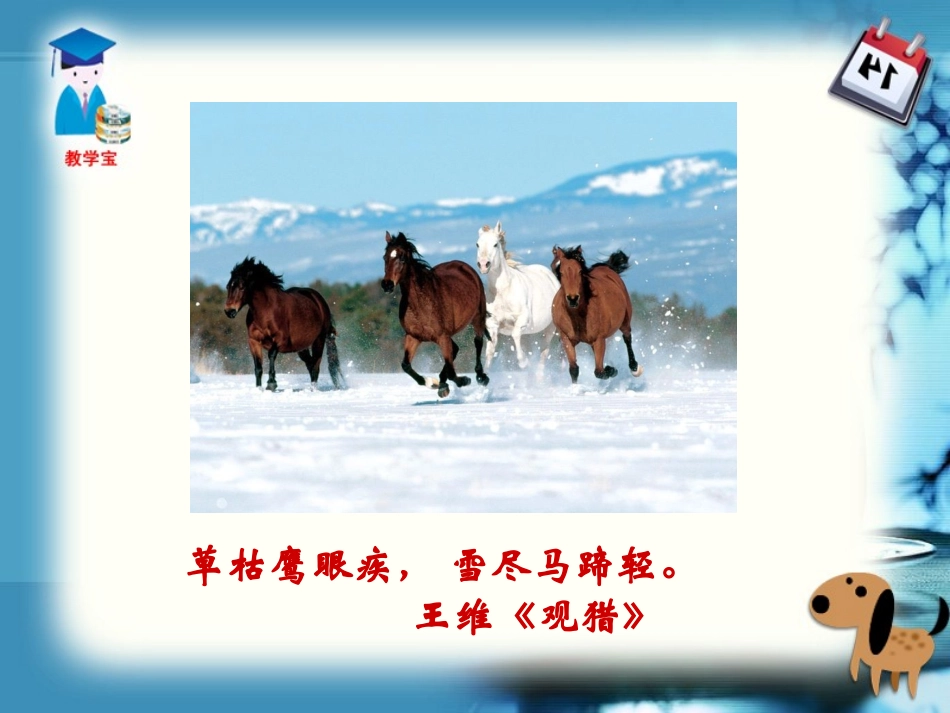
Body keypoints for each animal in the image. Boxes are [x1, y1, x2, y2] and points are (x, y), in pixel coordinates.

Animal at [224, 257, 346, 391]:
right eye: (228, 286)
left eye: (242, 287)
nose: (229, 311)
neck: (266, 311)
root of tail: (319, 300)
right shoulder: (254, 341)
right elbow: (258, 367)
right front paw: (259, 389)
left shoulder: (280, 340)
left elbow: (271, 355)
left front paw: (271, 383)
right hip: (301, 347)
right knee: (310, 364)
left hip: (319, 340)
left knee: (315, 365)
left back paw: (313, 389)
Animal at [381, 231, 490, 398]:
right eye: (385, 257)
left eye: (402, 258)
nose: (387, 285)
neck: (421, 304)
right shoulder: (413, 337)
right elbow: (406, 365)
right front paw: (432, 383)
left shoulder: (442, 336)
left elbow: (452, 371)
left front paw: (464, 380)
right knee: (455, 350)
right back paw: (442, 384)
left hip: (478, 317)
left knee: (477, 342)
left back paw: (480, 377)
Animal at [475, 221, 560, 370]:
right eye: (477, 244)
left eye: (495, 244)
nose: (484, 265)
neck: (503, 292)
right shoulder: (492, 326)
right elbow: (490, 353)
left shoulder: (522, 320)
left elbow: (515, 335)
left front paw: (524, 362)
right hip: (528, 334)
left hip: (550, 328)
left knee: (544, 353)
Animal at [550, 245, 644, 384]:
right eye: (561, 272)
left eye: (580, 272)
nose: (573, 298)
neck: (578, 316)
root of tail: (607, 267)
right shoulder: (566, 339)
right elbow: (574, 369)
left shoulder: (599, 340)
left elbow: (599, 371)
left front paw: (612, 370)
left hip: (625, 321)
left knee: (627, 338)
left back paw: (634, 368)